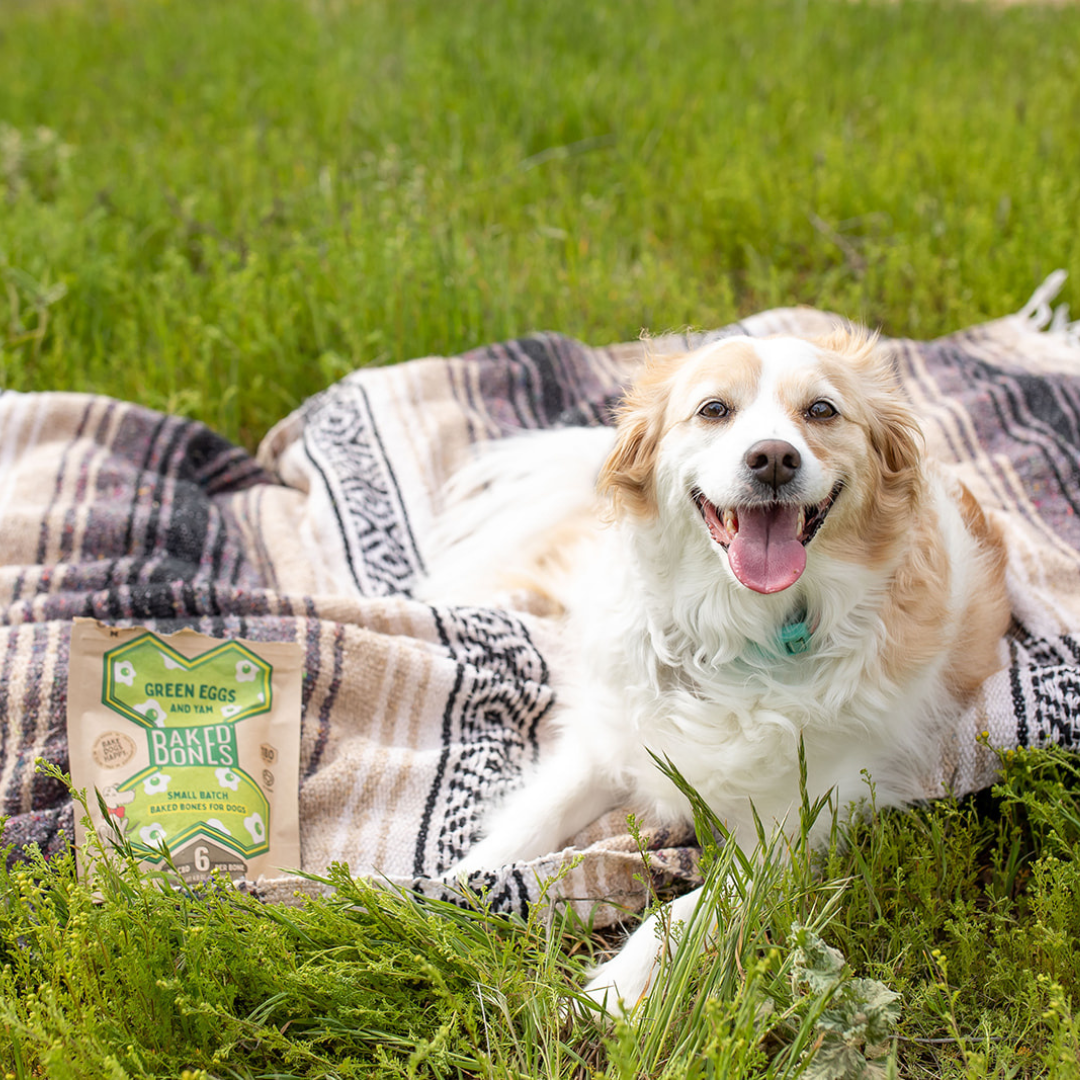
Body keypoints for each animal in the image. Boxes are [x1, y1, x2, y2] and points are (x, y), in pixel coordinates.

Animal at [416, 326, 1006, 1002]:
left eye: (821, 410)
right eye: (714, 409)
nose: (773, 458)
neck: (740, 631)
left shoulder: (791, 826)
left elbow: (683, 912)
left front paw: (613, 995)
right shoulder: (613, 738)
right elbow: (534, 817)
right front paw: (449, 890)